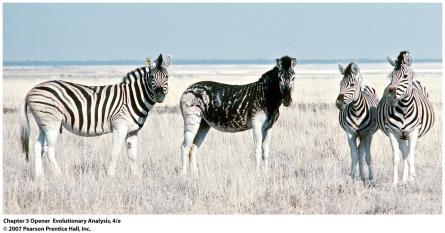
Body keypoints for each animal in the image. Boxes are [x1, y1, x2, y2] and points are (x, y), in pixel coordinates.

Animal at [19, 54, 172, 178]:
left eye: (167, 76)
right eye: (151, 77)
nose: (159, 95)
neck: (132, 98)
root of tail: (30, 91)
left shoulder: (133, 130)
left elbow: (133, 155)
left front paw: (136, 177)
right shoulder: (119, 126)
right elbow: (115, 153)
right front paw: (110, 176)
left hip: (43, 124)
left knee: (37, 147)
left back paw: (40, 177)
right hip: (52, 123)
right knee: (49, 150)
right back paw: (59, 176)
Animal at [376, 51, 436, 186]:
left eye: (405, 76)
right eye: (391, 76)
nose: (390, 96)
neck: (404, 109)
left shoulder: (414, 132)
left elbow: (411, 157)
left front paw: (412, 180)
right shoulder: (392, 132)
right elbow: (397, 158)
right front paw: (395, 183)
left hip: (411, 135)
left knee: (409, 154)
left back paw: (408, 179)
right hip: (402, 136)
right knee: (404, 153)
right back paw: (403, 180)